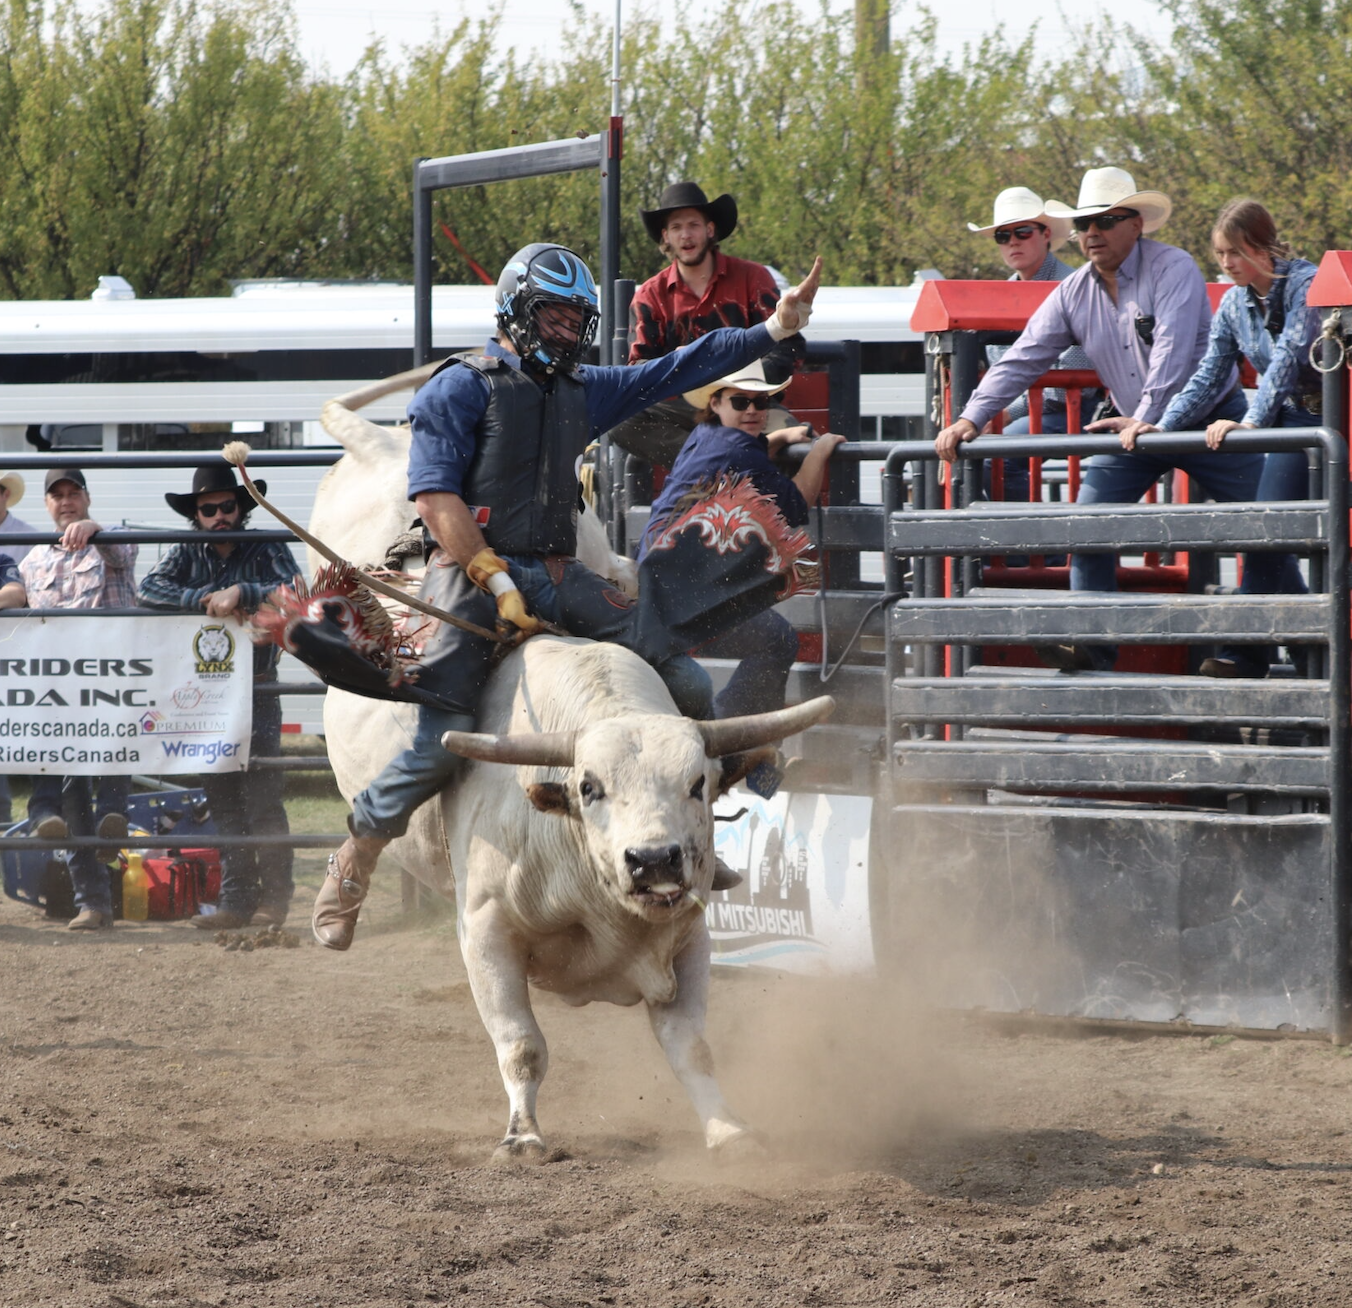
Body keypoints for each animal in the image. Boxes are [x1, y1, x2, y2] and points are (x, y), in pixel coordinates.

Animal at [310, 365, 827, 1157]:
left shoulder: (690, 934)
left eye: (700, 784)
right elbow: (522, 1044)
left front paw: (726, 1129)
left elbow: (693, 1047)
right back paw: (339, 902)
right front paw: (523, 1136)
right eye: (588, 787)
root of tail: (380, 444)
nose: (654, 859)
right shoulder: (484, 931)